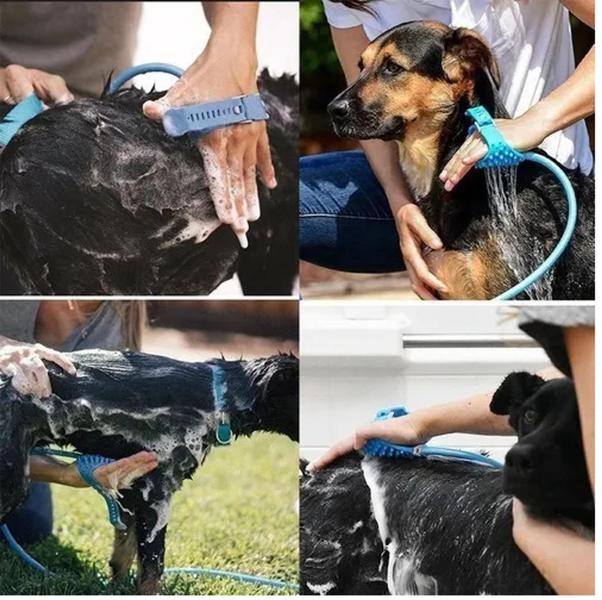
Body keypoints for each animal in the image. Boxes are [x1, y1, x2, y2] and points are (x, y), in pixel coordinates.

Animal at [0, 350, 298, 592]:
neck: (218, 397)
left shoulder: (130, 491)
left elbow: (123, 556)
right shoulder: (157, 494)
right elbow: (152, 570)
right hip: (13, 483)